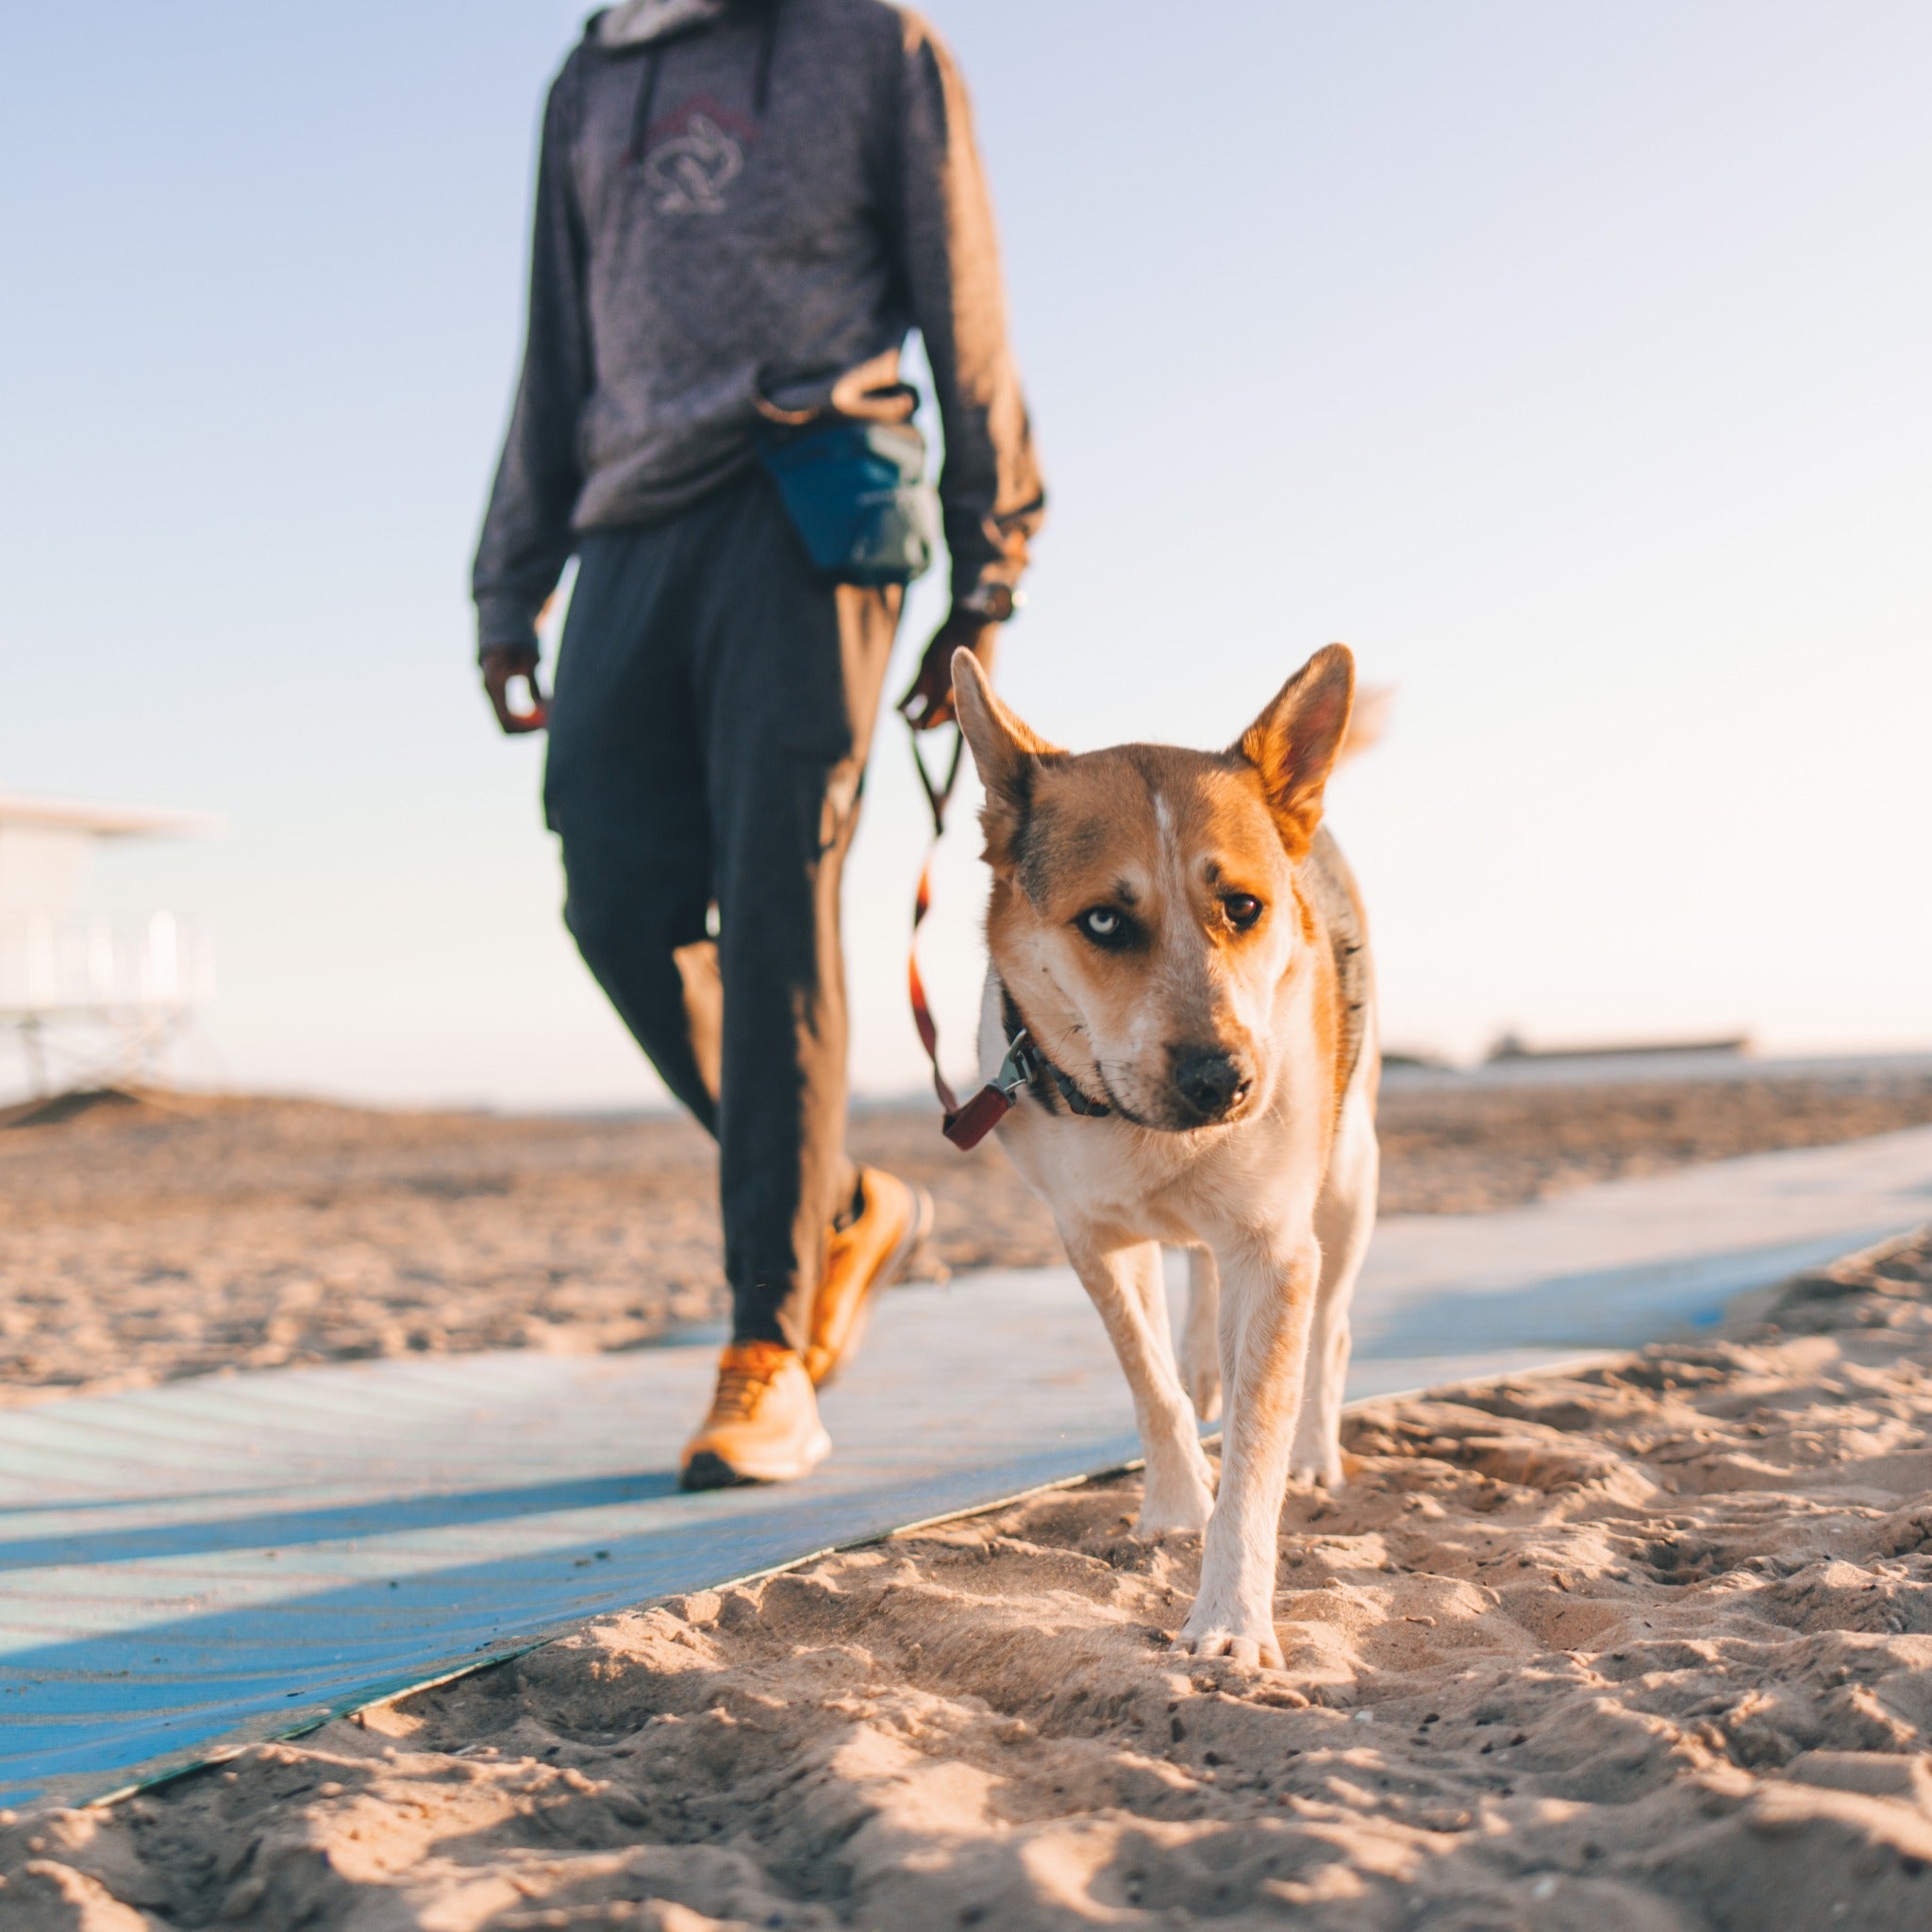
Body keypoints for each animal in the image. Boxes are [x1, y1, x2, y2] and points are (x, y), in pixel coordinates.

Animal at [946, 641, 1375, 1669]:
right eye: (1104, 920)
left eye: (1244, 907)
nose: (1225, 1081)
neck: (1137, 1123)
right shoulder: (1091, 1233)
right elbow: (1148, 1378)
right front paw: (1177, 1503)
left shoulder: (1277, 1244)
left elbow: (1256, 1447)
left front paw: (1231, 1616)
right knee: (1197, 1298)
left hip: (1348, 1177)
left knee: (1329, 1329)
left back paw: (1315, 1450)